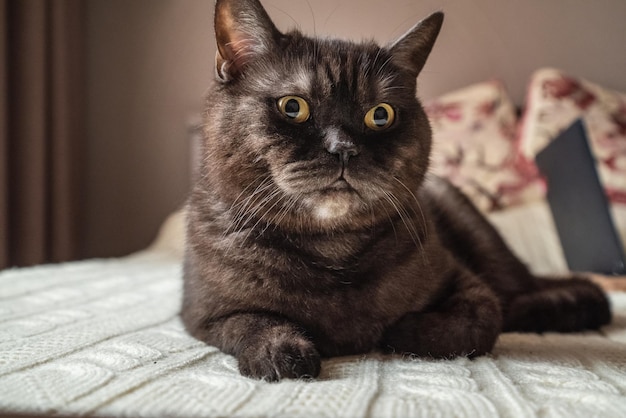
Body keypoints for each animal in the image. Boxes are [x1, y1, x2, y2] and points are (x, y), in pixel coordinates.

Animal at [180, 0, 608, 380]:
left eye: (381, 115)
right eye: (293, 107)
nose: (343, 149)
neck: (333, 249)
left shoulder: (469, 285)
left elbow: (476, 323)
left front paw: (399, 331)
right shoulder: (201, 313)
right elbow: (248, 320)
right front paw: (282, 352)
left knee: (531, 293)